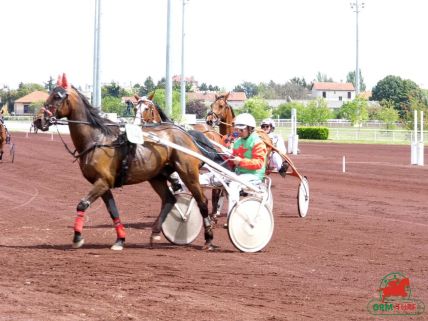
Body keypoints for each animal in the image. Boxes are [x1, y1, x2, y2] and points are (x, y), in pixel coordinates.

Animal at [35, 74, 216, 250]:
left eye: (57, 96)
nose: (38, 120)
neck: (97, 139)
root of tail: (185, 134)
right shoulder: (103, 184)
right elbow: (113, 211)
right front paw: (120, 239)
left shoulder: (102, 182)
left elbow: (82, 204)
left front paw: (77, 237)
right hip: (156, 176)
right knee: (169, 199)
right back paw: (155, 232)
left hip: (188, 173)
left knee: (202, 201)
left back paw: (208, 238)